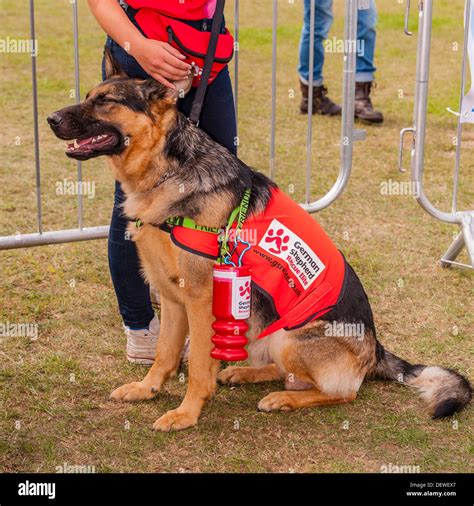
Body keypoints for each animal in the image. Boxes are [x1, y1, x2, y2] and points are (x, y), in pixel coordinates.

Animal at [47, 51, 470, 430]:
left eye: (107, 101)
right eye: (90, 95)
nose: (50, 118)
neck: (170, 170)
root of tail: (375, 348)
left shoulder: (199, 299)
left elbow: (198, 365)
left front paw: (186, 414)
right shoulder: (170, 296)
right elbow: (165, 354)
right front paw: (147, 389)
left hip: (290, 337)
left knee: (342, 392)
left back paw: (282, 398)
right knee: (283, 370)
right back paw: (245, 374)